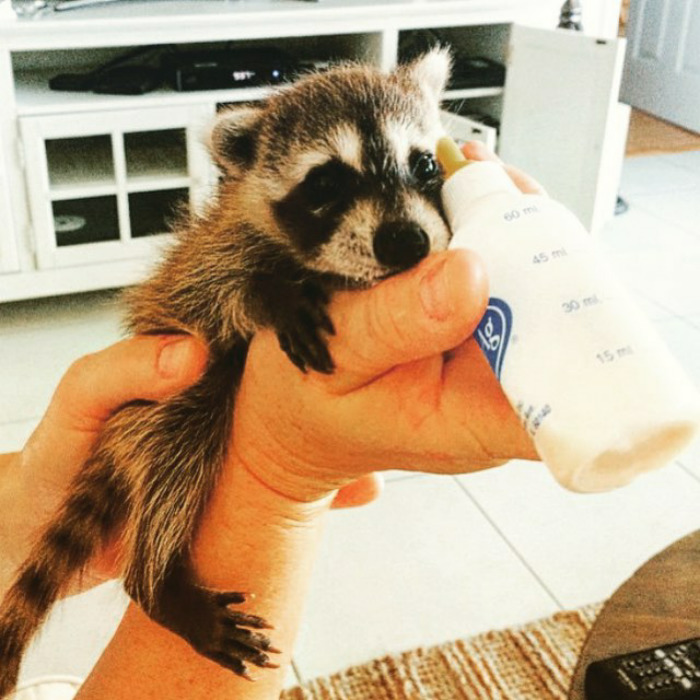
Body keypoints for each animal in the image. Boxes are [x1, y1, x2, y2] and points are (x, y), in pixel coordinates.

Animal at [0, 48, 453, 691]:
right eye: (326, 183)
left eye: (425, 164)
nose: (406, 241)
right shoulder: (214, 255)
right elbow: (211, 292)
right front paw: (268, 293)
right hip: (156, 407)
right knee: (178, 440)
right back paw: (155, 581)